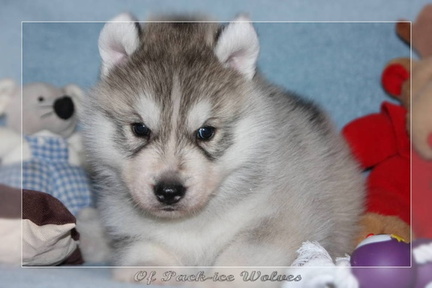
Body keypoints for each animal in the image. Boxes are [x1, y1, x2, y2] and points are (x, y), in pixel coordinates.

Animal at [82, 12, 364, 284]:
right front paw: (157, 274)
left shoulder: (281, 222)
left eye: (206, 132)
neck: (191, 223)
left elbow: (240, 260)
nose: (169, 191)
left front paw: (213, 281)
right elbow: (145, 254)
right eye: (140, 129)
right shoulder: (132, 234)